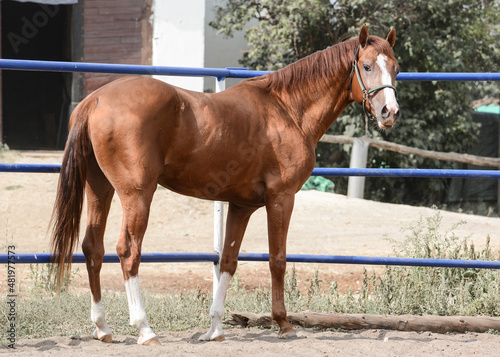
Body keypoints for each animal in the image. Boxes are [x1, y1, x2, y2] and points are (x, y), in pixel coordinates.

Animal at [50, 23, 400, 344]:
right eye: (366, 66)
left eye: (395, 67)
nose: (390, 112)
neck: (287, 110)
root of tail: (96, 99)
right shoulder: (281, 198)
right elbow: (278, 260)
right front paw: (284, 324)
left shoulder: (241, 206)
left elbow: (229, 261)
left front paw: (216, 328)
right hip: (136, 195)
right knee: (128, 251)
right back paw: (145, 329)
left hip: (100, 189)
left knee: (92, 248)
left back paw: (103, 328)